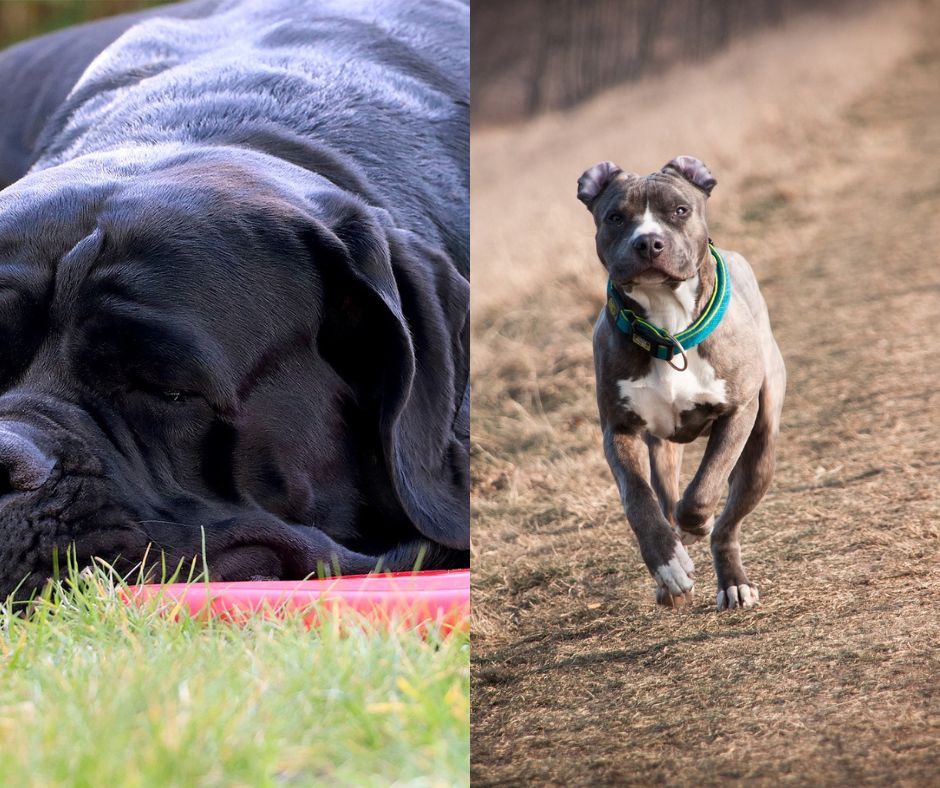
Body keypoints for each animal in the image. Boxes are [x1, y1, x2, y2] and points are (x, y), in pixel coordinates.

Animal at [580, 155, 784, 608]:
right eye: (615, 217)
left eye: (679, 210)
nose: (648, 243)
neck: (668, 325)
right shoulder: (619, 430)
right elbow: (638, 500)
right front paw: (668, 565)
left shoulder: (737, 413)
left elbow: (705, 489)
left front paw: (696, 525)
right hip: (663, 448)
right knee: (666, 496)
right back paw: (672, 574)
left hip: (761, 450)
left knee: (727, 524)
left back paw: (732, 581)